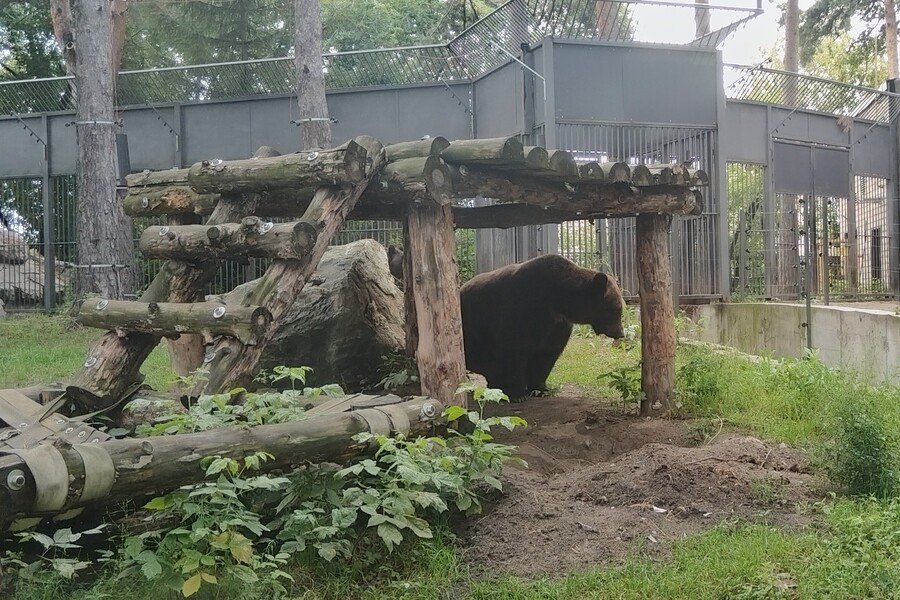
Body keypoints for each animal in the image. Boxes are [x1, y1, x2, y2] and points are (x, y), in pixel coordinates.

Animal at [459, 254, 625, 400]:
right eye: (616, 309)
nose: (620, 332)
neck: (557, 300)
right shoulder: (522, 310)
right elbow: (514, 350)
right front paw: (517, 393)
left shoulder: (556, 326)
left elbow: (546, 355)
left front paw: (540, 389)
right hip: (473, 327)